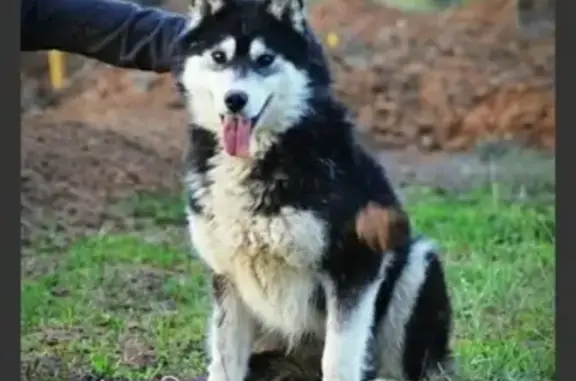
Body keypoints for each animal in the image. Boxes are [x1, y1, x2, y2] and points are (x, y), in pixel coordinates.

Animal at [176, 0, 454, 380]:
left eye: (265, 59)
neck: (270, 153)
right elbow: (225, 362)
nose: (235, 99)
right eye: (219, 56)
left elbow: (338, 360)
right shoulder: (228, 276)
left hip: (417, 263)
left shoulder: (356, 263)